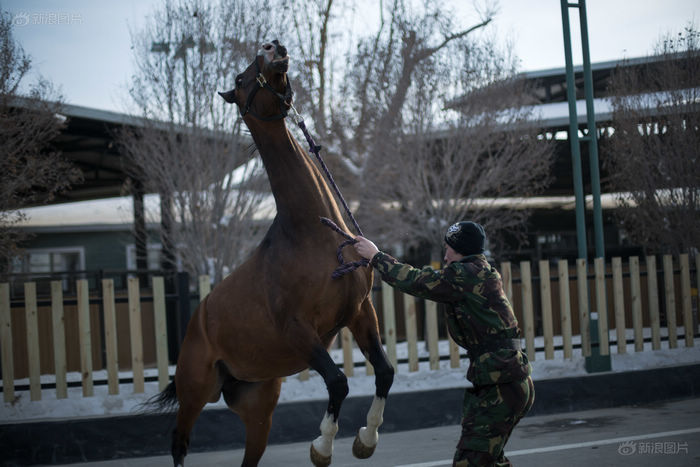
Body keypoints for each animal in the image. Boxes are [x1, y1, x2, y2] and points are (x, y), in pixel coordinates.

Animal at [157, 41, 394, 467]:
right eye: (239, 79)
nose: (272, 48)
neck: (310, 235)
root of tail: (198, 320)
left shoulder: (360, 312)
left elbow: (384, 372)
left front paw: (366, 440)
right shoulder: (298, 329)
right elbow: (338, 382)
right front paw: (322, 447)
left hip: (258, 410)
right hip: (194, 392)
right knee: (179, 442)